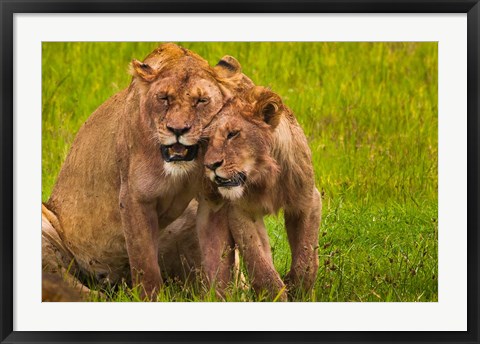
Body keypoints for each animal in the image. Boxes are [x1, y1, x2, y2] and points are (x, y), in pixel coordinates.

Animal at [42, 43, 253, 298]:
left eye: (201, 101)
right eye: (164, 98)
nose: (178, 129)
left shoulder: (213, 202)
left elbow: (220, 261)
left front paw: (221, 297)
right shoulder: (134, 198)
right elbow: (145, 265)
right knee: (73, 285)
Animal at [199, 86, 322, 300]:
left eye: (232, 134)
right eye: (207, 140)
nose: (211, 165)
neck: (265, 177)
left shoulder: (308, 201)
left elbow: (306, 257)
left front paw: (299, 289)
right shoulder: (240, 211)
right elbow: (260, 264)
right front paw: (275, 296)